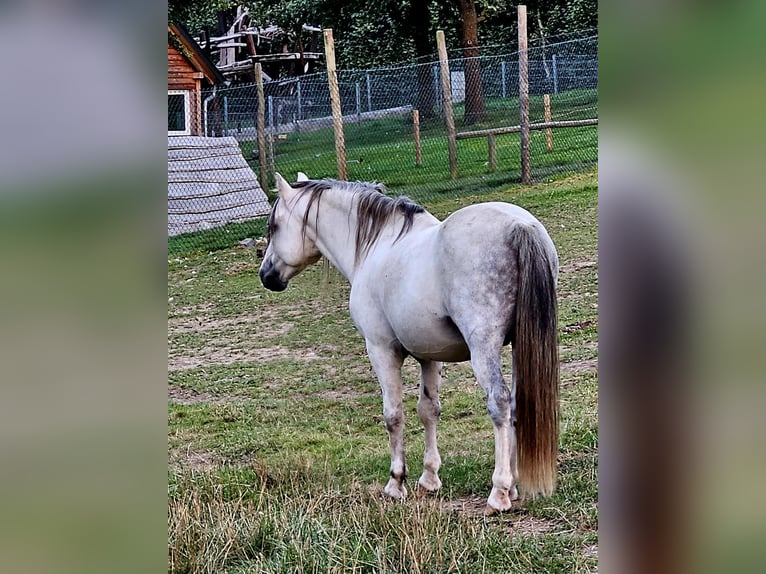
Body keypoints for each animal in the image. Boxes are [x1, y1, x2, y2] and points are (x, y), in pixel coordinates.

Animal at [260, 173, 560, 516]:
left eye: (274, 226)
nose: (266, 275)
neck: (376, 247)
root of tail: (519, 226)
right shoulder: (429, 355)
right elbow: (429, 410)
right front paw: (429, 478)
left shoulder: (381, 350)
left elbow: (394, 416)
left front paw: (396, 483)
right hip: (518, 346)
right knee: (515, 405)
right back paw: (512, 487)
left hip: (484, 348)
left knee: (499, 403)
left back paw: (499, 492)